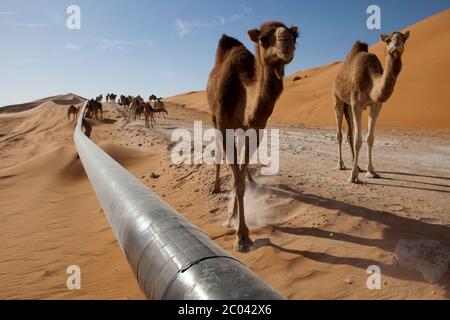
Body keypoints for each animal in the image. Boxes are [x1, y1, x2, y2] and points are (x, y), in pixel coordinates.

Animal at [207, 21, 298, 252]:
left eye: (295, 36)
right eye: (263, 39)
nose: (286, 41)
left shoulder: (257, 128)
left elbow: (240, 177)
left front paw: (236, 222)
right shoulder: (223, 124)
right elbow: (236, 179)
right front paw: (240, 236)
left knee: (241, 161)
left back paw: (250, 179)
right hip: (214, 118)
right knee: (221, 154)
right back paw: (215, 186)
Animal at [332, 31, 410, 185]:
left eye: (403, 39)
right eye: (388, 40)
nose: (395, 45)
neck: (371, 80)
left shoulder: (376, 106)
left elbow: (370, 139)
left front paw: (371, 171)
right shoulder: (357, 104)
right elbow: (358, 140)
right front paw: (353, 176)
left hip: (349, 105)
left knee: (350, 133)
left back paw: (358, 166)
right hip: (338, 99)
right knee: (339, 133)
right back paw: (341, 164)